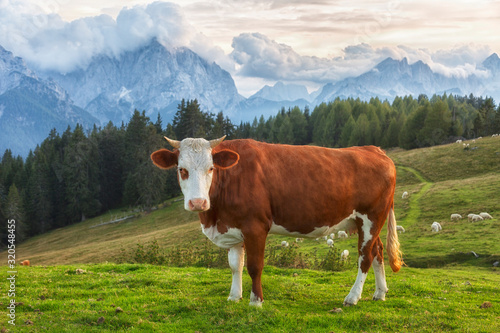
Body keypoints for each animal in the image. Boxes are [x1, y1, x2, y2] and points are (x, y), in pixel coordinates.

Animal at [151, 136, 402, 306]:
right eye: (181, 169)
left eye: (211, 168)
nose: (198, 202)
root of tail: (374, 149)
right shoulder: (232, 227)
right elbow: (235, 265)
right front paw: (234, 296)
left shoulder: (255, 227)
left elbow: (254, 266)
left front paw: (256, 301)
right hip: (367, 222)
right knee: (378, 251)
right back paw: (380, 293)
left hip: (371, 217)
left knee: (365, 256)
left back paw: (352, 297)